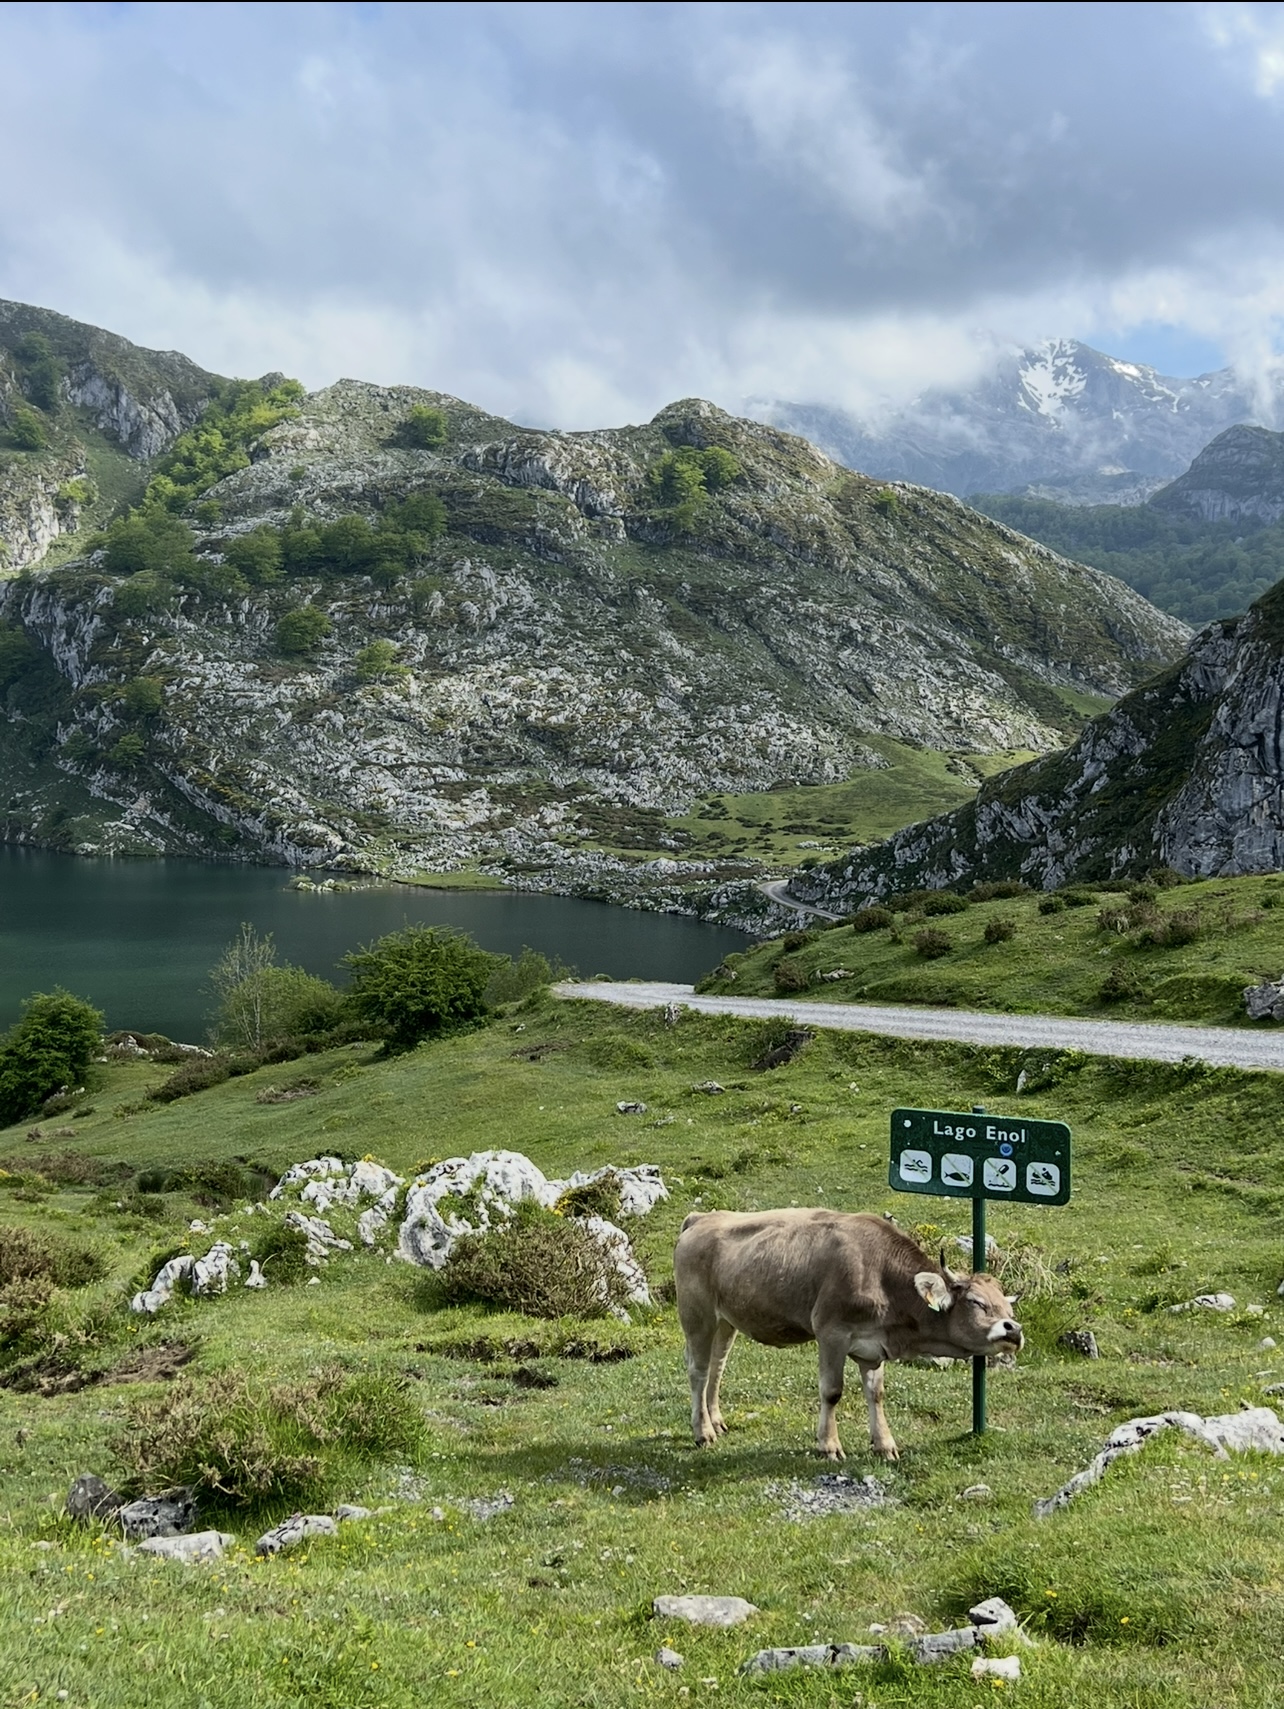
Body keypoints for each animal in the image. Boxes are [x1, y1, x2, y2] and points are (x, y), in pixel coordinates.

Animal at [674, 1208, 1022, 1460]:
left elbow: (876, 1393)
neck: (881, 1275)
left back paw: (715, 1420)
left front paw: (885, 1444)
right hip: (697, 1315)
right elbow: (832, 1391)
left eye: (1008, 1306)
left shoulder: (872, 1346)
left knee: (717, 1366)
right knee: (699, 1370)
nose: (1014, 1330)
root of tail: (701, 1218)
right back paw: (702, 1431)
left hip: (725, 1320)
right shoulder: (831, 1333)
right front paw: (828, 1445)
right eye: (976, 1302)